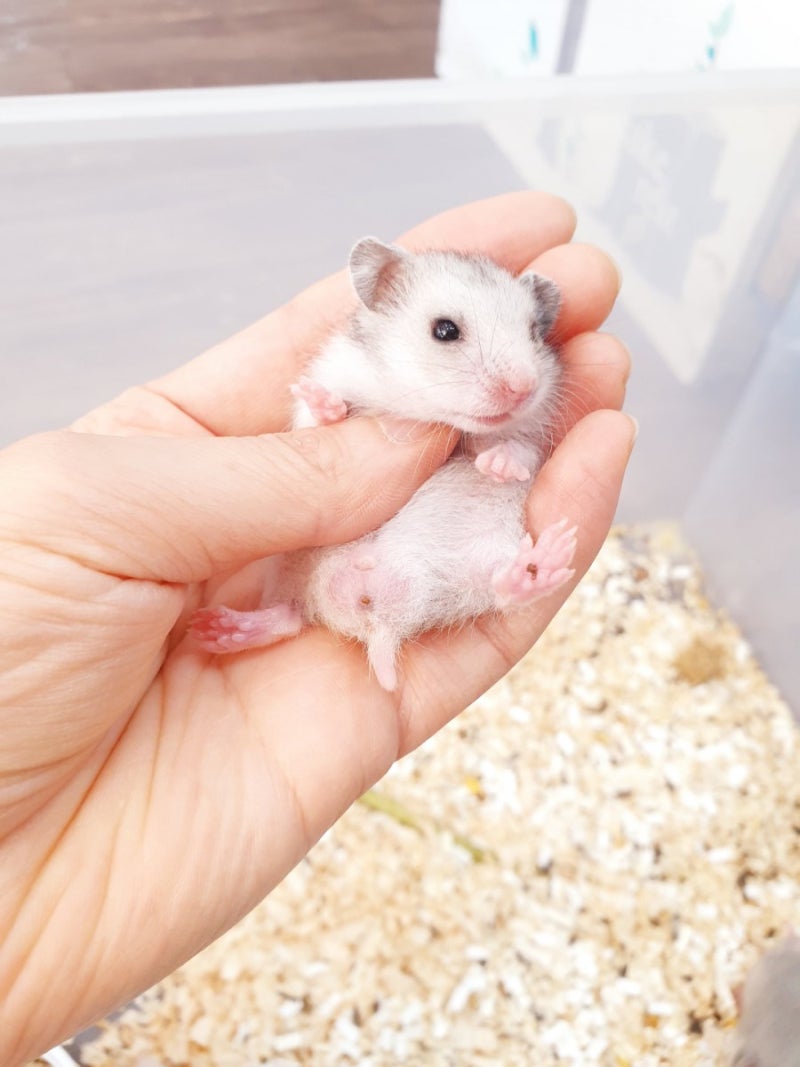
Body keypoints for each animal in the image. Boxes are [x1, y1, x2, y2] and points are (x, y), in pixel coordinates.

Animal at [190, 238, 577, 690]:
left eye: (534, 332)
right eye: (445, 330)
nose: (524, 388)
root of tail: (376, 615)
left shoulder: (534, 436)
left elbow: (521, 450)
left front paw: (497, 466)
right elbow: (318, 418)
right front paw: (325, 403)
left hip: (478, 566)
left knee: (503, 591)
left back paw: (545, 562)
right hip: (287, 563)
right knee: (289, 616)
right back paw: (217, 631)